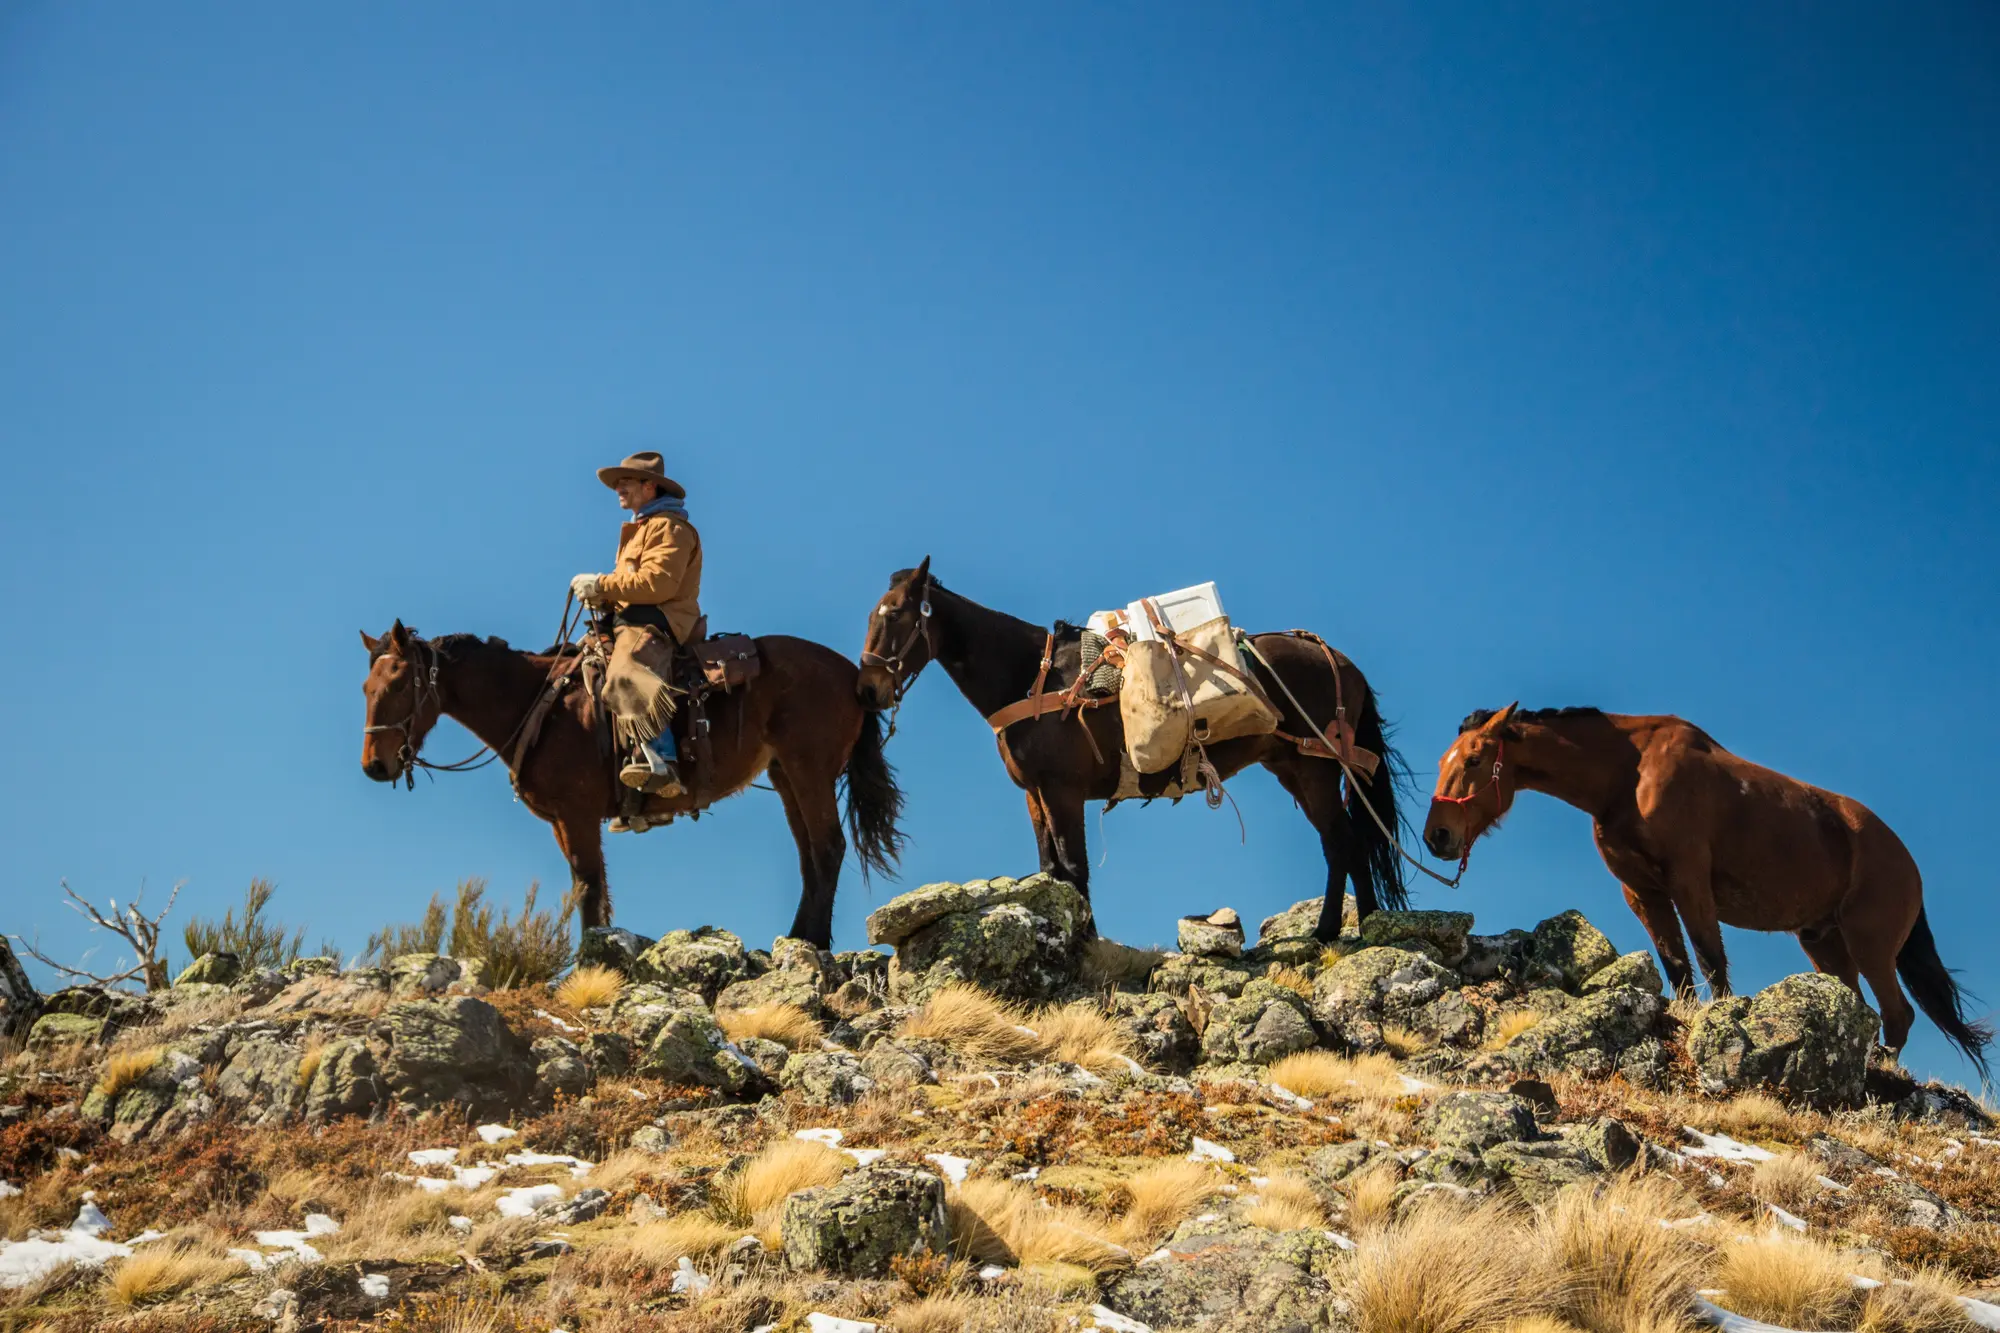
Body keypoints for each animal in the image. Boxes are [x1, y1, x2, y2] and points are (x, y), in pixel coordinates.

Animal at [358, 620, 904, 948]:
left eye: (400, 683)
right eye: (367, 687)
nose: (375, 766)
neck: (539, 705)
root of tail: (855, 675)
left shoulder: (577, 816)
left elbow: (587, 886)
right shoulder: (562, 822)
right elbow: (593, 890)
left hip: (808, 770)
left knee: (828, 848)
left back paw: (812, 945)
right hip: (786, 775)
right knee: (811, 854)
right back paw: (798, 940)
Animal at [854, 560, 1408, 939]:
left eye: (897, 614)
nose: (868, 690)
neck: (1030, 679)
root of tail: (1337, 658)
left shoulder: (1063, 792)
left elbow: (1073, 870)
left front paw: (1085, 943)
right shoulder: (1035, 795)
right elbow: (1051, 870)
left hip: (1317, 771)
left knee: (1343, 843)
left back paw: (1337, 931)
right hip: (1295, 768)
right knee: (1345, 842)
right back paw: (1352, 928)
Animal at [1422, 703, 1991, 1072]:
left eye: (1474, 759)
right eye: (1443, 759)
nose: (1437, 836)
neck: (1629, 775)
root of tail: (1907, 863)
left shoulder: (1689, 883)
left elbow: (1710, 961)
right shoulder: (1644, 892)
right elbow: (1677, 965)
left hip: (1869, 945)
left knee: (1898, 1016)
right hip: (1825, 944)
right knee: (1860, 1009)